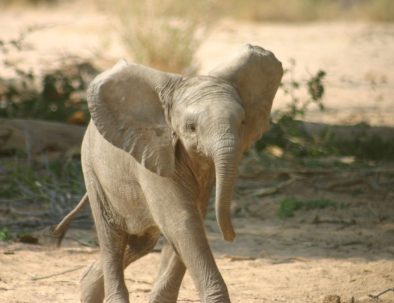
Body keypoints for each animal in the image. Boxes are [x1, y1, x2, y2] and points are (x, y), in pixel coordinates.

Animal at [66, 44, 280, 302]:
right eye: (191, 128)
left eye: (243, 123)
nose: (231, 236)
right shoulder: (153, 154)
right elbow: (182, 220)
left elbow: (189, 221)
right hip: (92, 169)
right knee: (113, 238)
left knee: (142, 242)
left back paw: (87, 285)